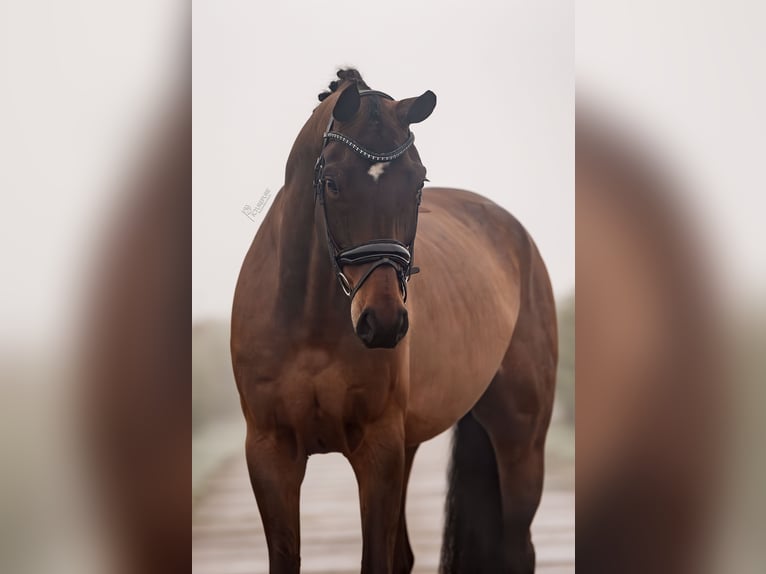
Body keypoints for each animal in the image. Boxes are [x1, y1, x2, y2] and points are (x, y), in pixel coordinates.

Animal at [231, 70, 560, 572]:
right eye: (332, 182)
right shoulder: (271, 453)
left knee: (517, 548)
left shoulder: (378, 449)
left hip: (520, 437)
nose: (383, 322)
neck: (309, 327)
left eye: (418, 182)